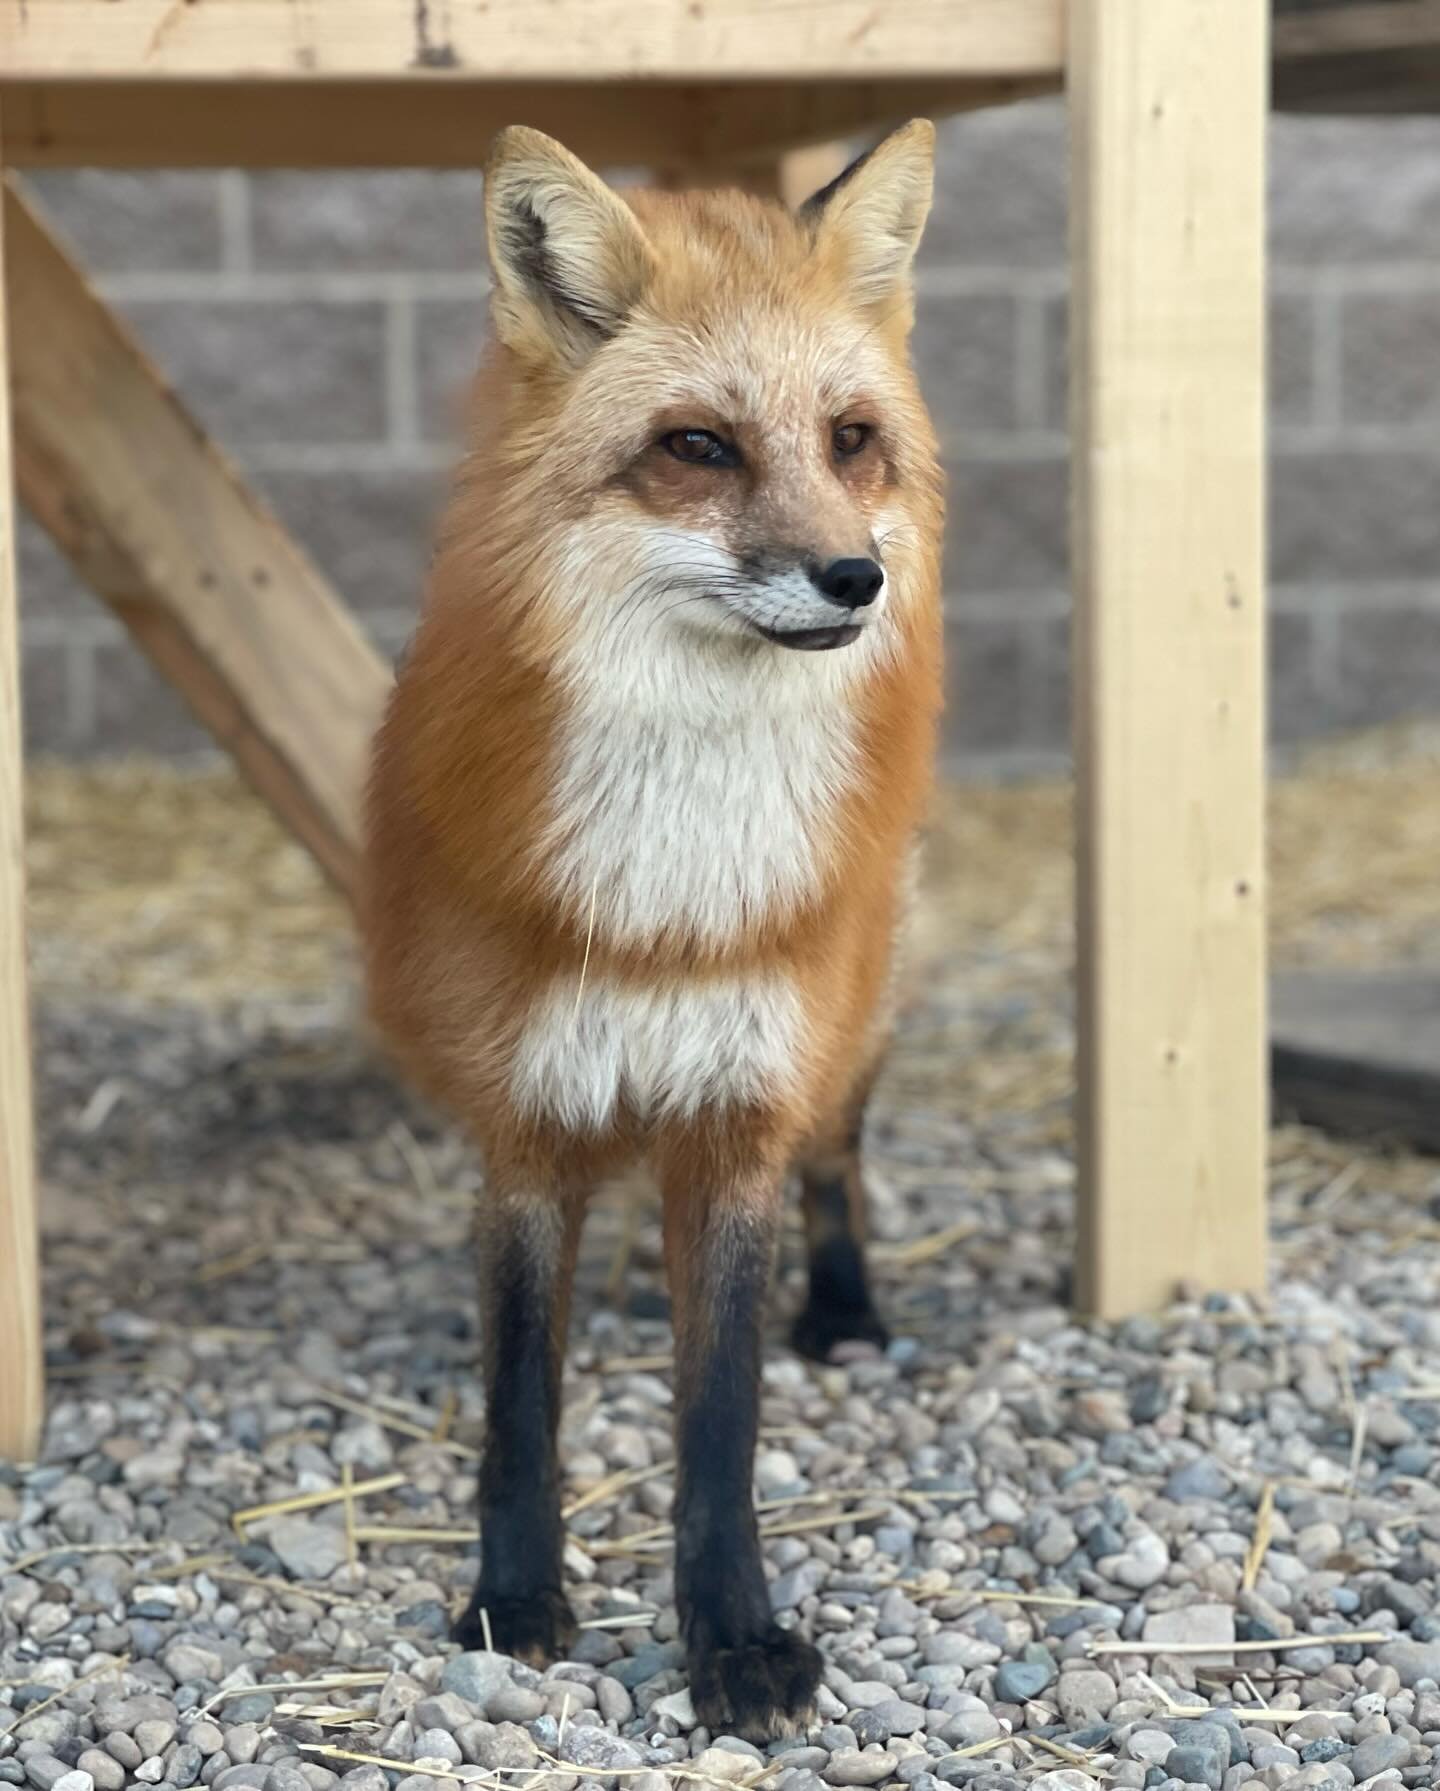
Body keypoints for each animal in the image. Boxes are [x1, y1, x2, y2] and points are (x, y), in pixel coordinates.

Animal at [360, 119, 945, 1740]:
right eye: (699, 446)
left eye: (849, 440)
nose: (856, 577)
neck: (668, 899)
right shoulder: (524, 1118)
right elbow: (520, 1399)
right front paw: (511, 1602)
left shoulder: (739, 1109)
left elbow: (718, 1420)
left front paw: (734, 1637)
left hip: (857, 1013)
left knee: (843, 1160)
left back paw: (847, 1310)